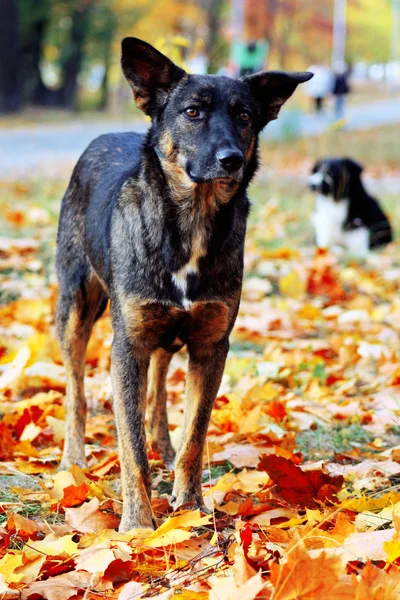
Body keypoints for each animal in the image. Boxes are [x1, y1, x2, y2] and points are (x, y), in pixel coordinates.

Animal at [55, 37, 312, 528]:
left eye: (244, 116)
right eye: (193, 112)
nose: (232, 159)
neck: (191, 223)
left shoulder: (211, 344)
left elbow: (195, 431)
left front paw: (190, 506)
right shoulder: (128, 345)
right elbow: (129, 445)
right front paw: (138, 524)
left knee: (158, 385)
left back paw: (164, 446)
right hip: (75, 307)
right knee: (77, 390)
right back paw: (72, 460)